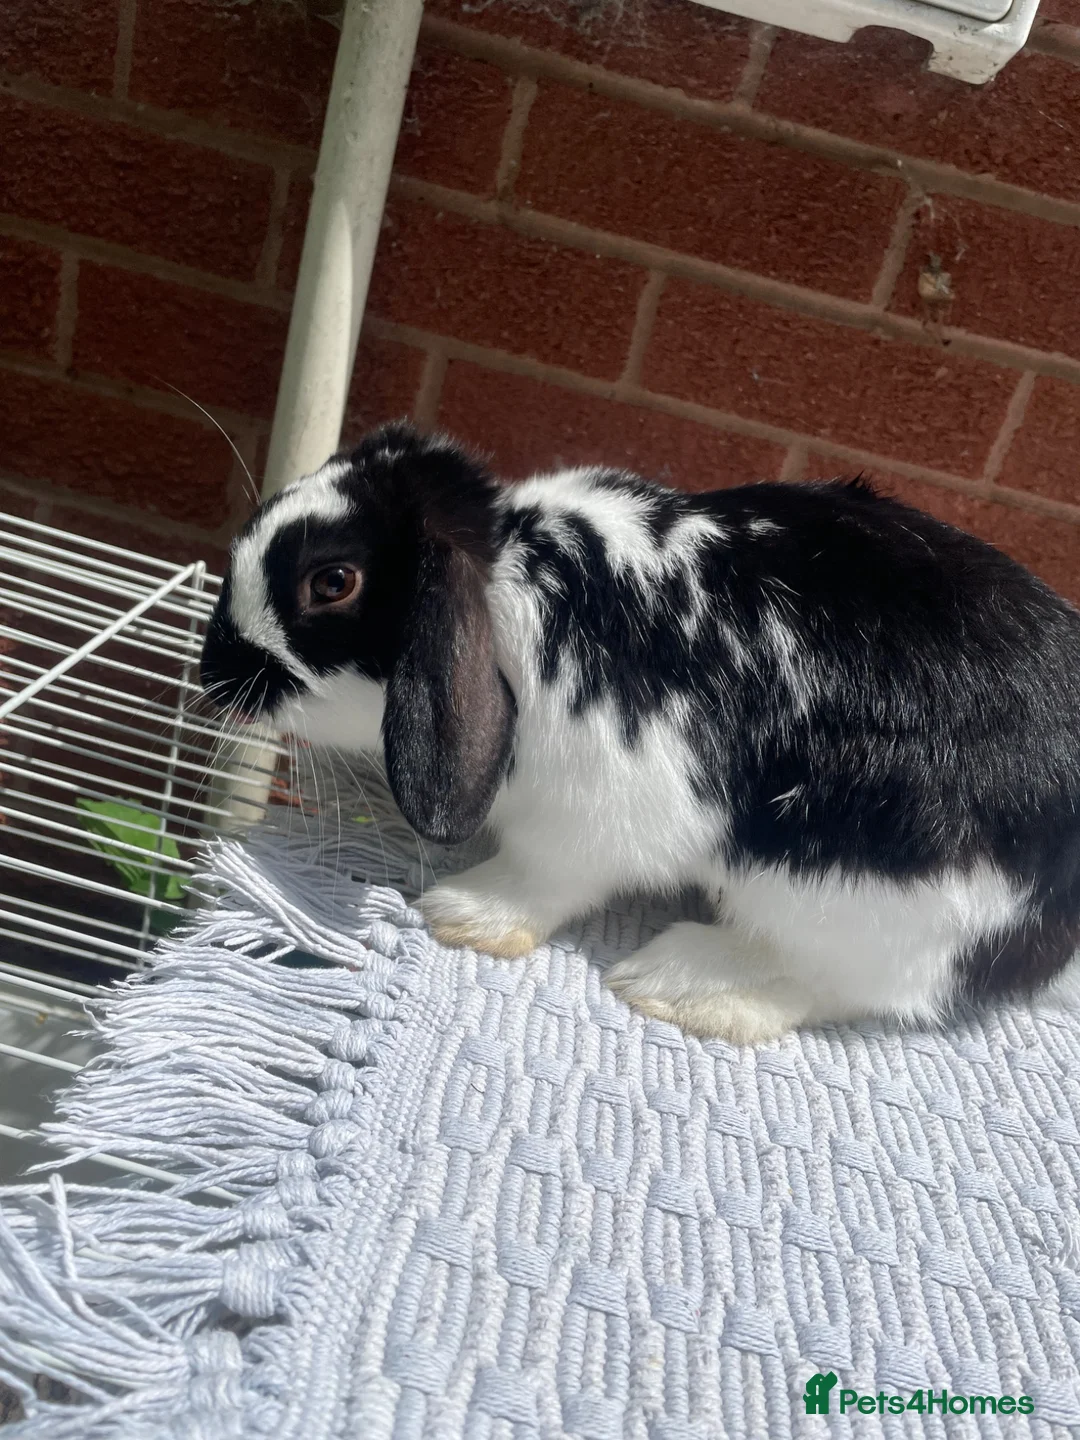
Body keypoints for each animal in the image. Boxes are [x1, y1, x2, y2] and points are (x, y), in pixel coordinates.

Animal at [200, 422, 1080, 1044]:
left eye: (332, 583)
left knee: (842, 982)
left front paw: (463, 914)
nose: (216, 674)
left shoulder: (594, 812)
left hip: (845, 894)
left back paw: (677, 983)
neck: (509, 579)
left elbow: (543, 875)